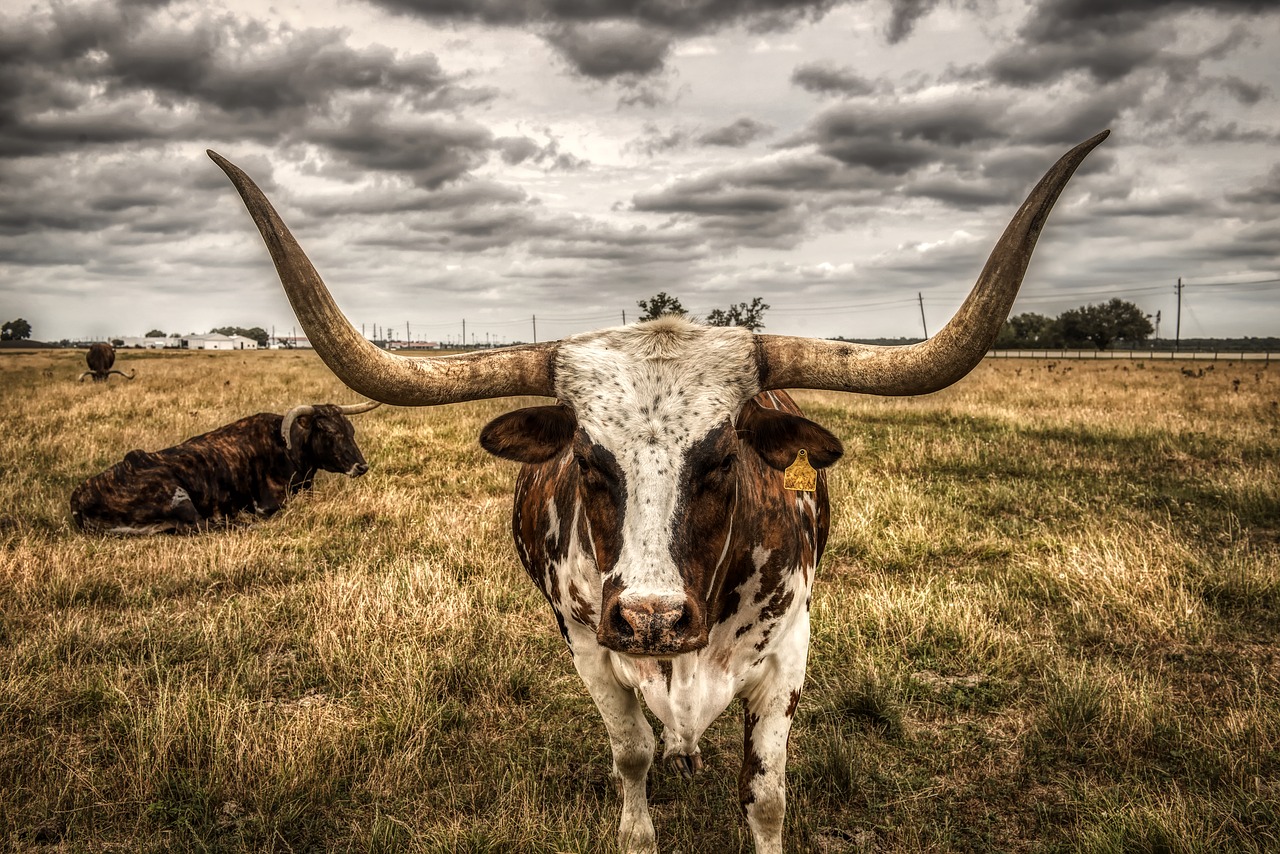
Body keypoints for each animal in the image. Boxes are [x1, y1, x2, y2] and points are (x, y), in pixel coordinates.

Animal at [70, 402, 378, 535]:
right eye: (328, 431)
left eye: (350, 429)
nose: (361, 466)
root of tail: (79, 494)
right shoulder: (268, 504)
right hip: (175, 494)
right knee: (200, 525)